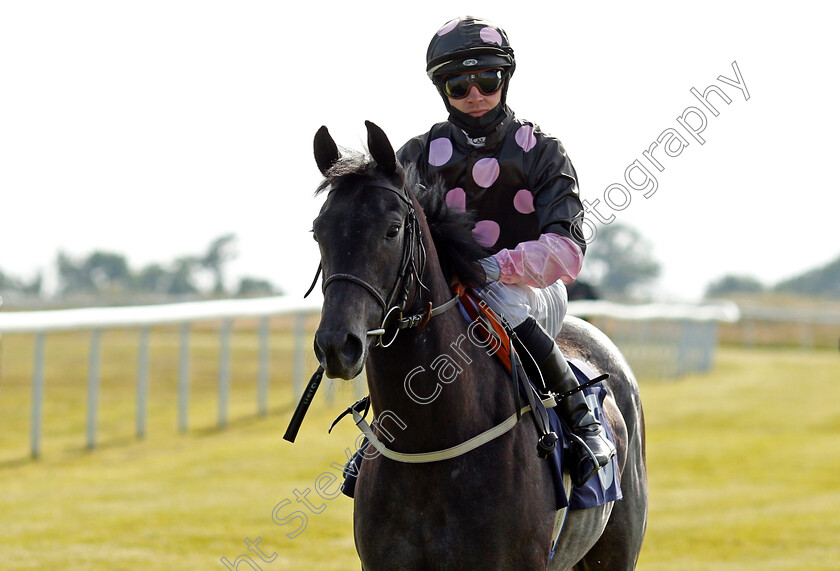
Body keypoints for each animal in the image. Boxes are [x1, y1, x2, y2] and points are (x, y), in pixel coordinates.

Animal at [312, 122, 648, 571]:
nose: (337, 345)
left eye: (392, 229)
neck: (431, 445)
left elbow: (563, 241)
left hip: (617, 548)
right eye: (318, 231)